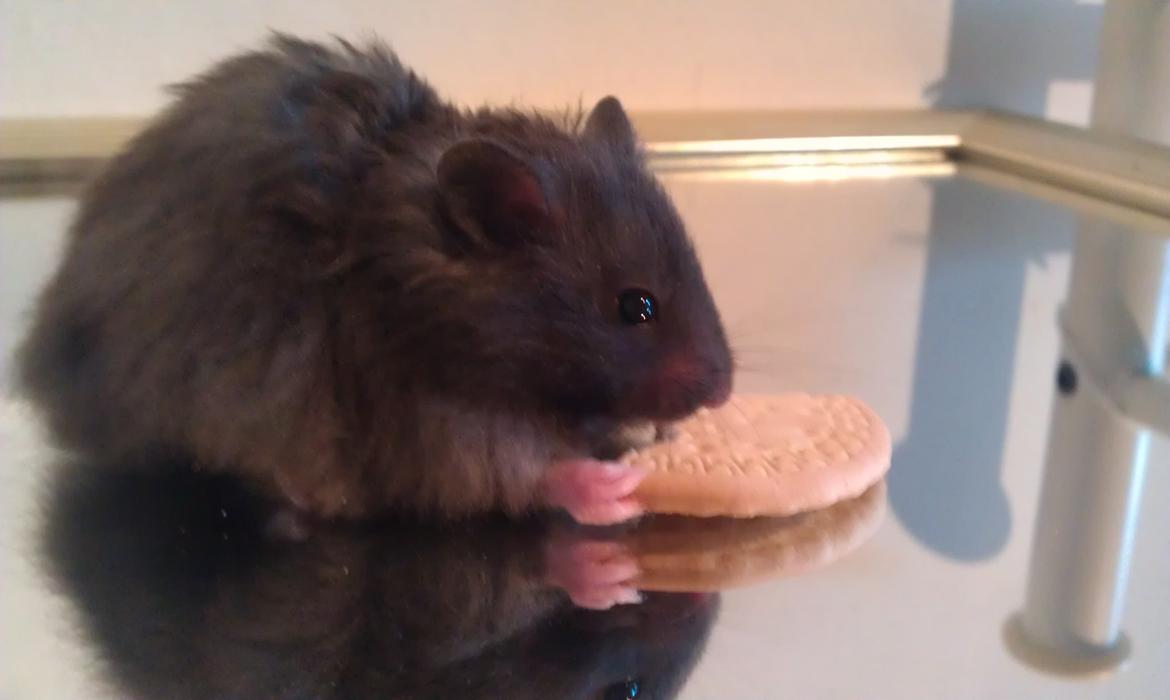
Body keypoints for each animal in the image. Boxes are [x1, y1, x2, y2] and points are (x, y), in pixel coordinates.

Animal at [17, 34, 733, 524]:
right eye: (636, 307)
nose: (723, 395)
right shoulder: (424, 408)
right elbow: (512, 474)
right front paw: (616, 491)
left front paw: (657, 437)